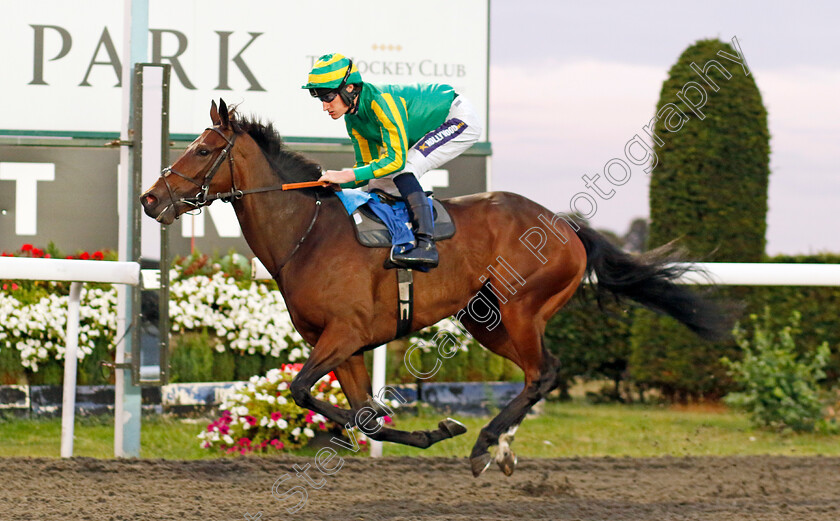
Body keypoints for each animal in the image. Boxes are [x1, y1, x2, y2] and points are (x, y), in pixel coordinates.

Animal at [139, 98, 728, 476]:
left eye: (202, 149)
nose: (149, 199)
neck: (306, 233)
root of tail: (565, 224)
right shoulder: (343, 343)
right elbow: (364, 417)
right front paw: (430, 432)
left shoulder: (344, 333)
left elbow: (303, 391)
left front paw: (441, 432)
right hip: (485, 318)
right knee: (537, 374)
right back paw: (501, 449)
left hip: (519, 307)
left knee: (543, 373)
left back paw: (487, 445)